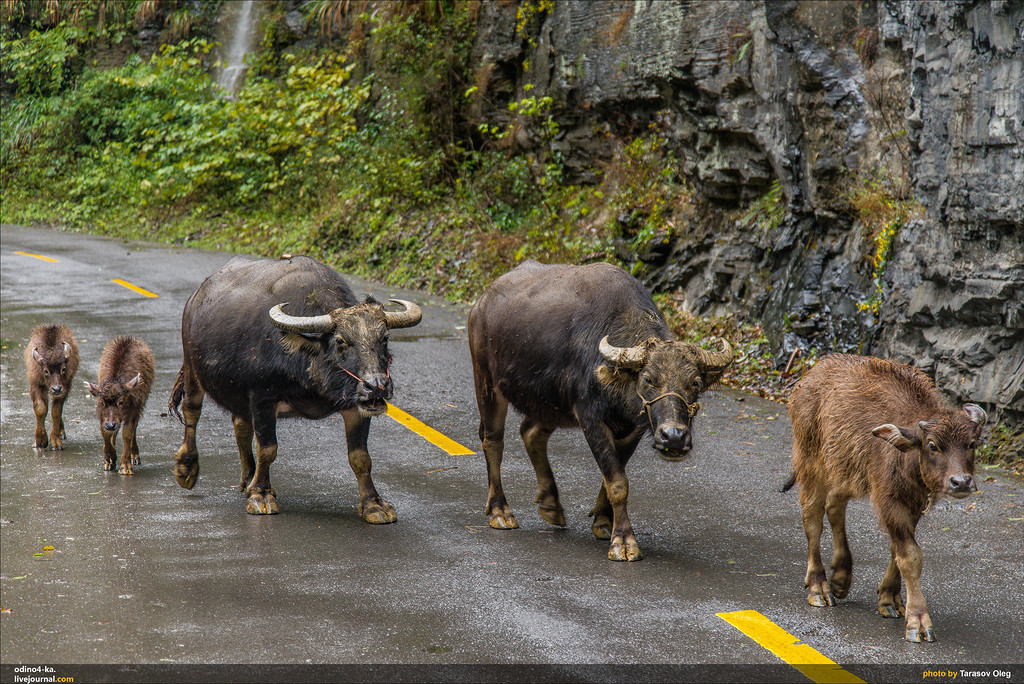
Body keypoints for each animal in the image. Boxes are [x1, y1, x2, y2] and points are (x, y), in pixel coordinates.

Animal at [86, 335, 154, 475]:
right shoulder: (104, 416)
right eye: (102, 402)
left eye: (121, 402)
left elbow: (127, 433)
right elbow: (105, 433)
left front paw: (125, 467)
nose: (110, 425)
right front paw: (109, 460)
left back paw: (135, 456)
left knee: (133, 429)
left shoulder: (134, 410)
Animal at [172, 255, 419, 518]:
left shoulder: (356, 405)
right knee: (192, 410)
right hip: (191, 367)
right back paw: (187, 468)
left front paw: (373, 504)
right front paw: (261, 495)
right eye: (341, 341)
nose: (377, 386)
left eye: (384, 338)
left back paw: (248, 479)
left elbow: (360, 457)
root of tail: (195, 298)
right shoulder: (262, 398)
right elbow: (267, 449)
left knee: (240, 425)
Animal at [468, 262, 733, 561]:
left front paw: (604, 523)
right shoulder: (591, 420)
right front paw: (623, 541)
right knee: (493, 441)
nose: (674, 437)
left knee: (531, 432)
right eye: (647, 379)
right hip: (486, 381)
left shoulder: (632, 430)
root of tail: (482, 302)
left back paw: (551, 505)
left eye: (695, 383)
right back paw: (500, 511)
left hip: (550, 403)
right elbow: (617, 483)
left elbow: (614, 477)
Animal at [782, 356, 983, 643]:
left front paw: (890, 599)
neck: (907, 455)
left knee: (834, 506)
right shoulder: (889, 500)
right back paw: (819, 588)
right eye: (932, 445)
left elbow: (896, 550)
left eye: (972, 444)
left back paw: (841, 578)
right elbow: (910, 555)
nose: (961, 482)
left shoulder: (912, 505)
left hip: (845, 470)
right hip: (811, 463)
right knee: (812, 519)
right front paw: (918, 621)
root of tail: (810, 377)